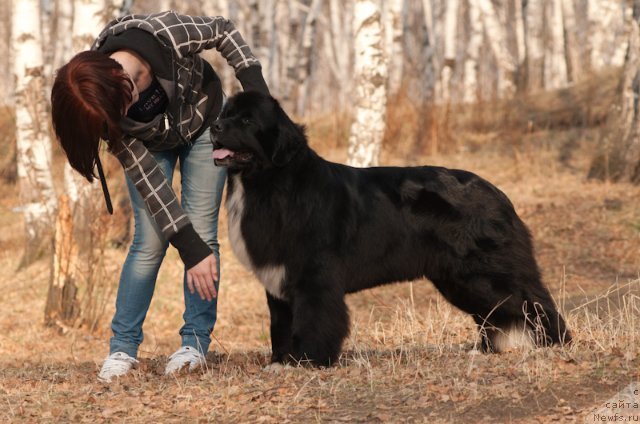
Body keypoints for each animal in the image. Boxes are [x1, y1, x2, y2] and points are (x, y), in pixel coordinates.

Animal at [212, 91, 572, 366]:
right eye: (225, 113)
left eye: (246, 121)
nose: (214, 126)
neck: (274, 183)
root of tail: (498, 194)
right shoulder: (279, 279)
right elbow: (281, 323)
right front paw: (281, 362)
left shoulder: (314, 276)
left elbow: (314, 319)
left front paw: (309, 361)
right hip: (459, 279)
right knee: (495, 311)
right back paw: (487, 349)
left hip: (484, 272)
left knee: (530, 300)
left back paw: (555, 343)